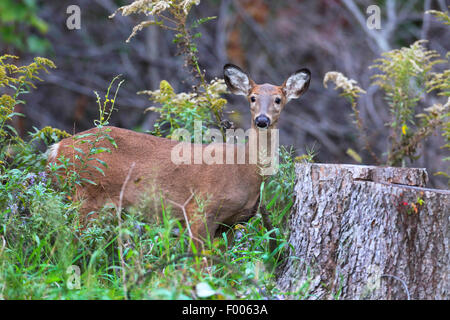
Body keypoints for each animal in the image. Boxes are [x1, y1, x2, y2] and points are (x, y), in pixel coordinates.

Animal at [47, 64, 312, 250]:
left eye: (278, 99)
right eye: (252, 98)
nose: (262, 120)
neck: (243, 169)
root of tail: (57, 148)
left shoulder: (230, 224)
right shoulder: (199, 209)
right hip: (86, 193)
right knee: (65, 241)